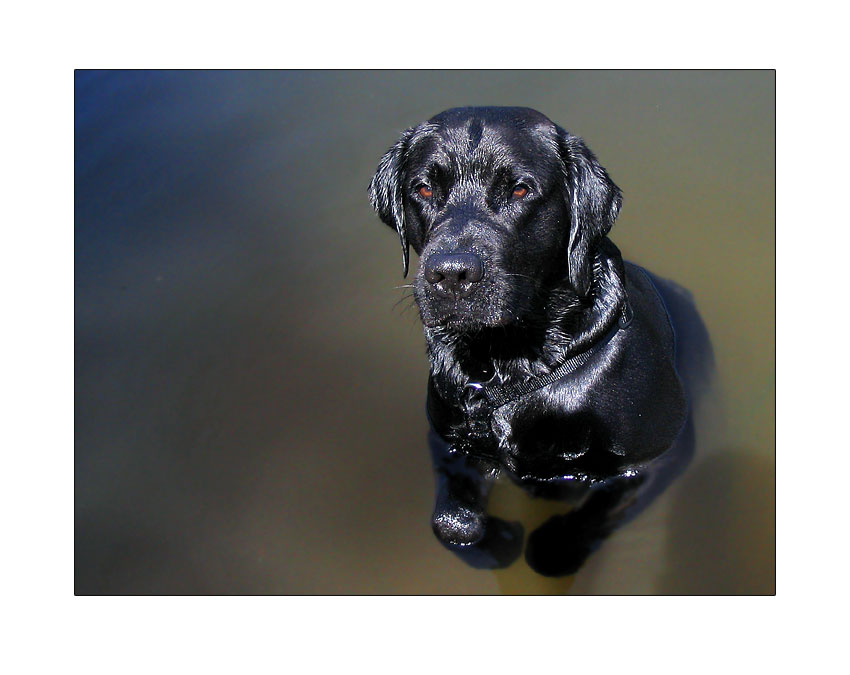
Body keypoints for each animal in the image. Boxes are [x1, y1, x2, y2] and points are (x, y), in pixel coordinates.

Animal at [368, 105, 712, 576]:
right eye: (422, 188)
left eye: (519, 189)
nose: (451, 273)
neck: (510, 363)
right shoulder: (449, 440)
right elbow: (450, 525)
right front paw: (496, 541)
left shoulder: (658, 455)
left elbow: (582, 523)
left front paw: (549, 544)